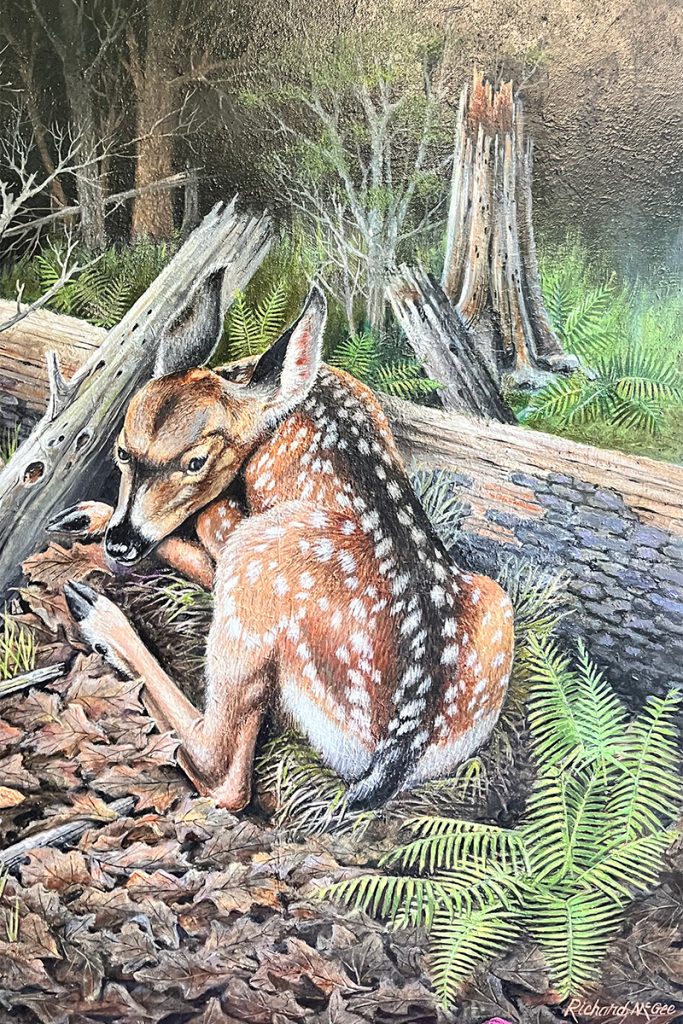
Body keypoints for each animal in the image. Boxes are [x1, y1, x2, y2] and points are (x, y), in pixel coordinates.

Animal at [49, 285, 514, 812]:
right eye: (123, 451)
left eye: (196, 461)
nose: (123, 542)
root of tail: (402, 745)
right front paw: (88, 517)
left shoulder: (232, 527)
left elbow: (203, 524)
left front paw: (94, 525)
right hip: (497, 603)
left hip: (257, 563)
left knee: (223, 773)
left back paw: (96, 612)